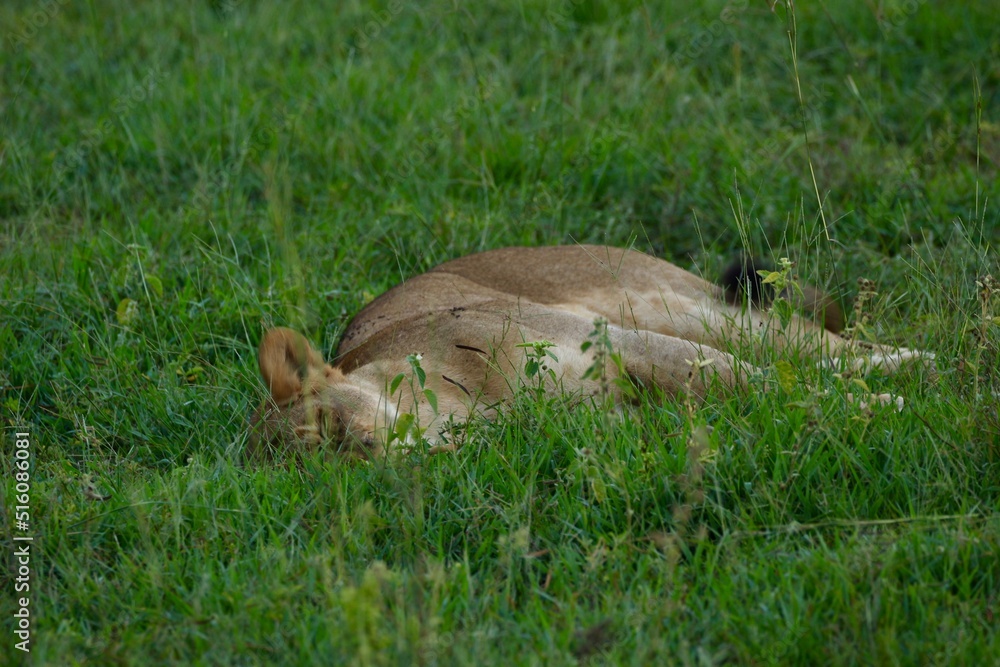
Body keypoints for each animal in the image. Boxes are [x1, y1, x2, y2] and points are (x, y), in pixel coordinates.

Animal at [247, 244, 929, 460]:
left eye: (323, 424)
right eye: (317, 463)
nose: (369, 454)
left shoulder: (617, 340)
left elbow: (760, 384)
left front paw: (877, 409)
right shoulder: (613, 417)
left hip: (676, 305)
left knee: (822, 344)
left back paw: (914, 367)